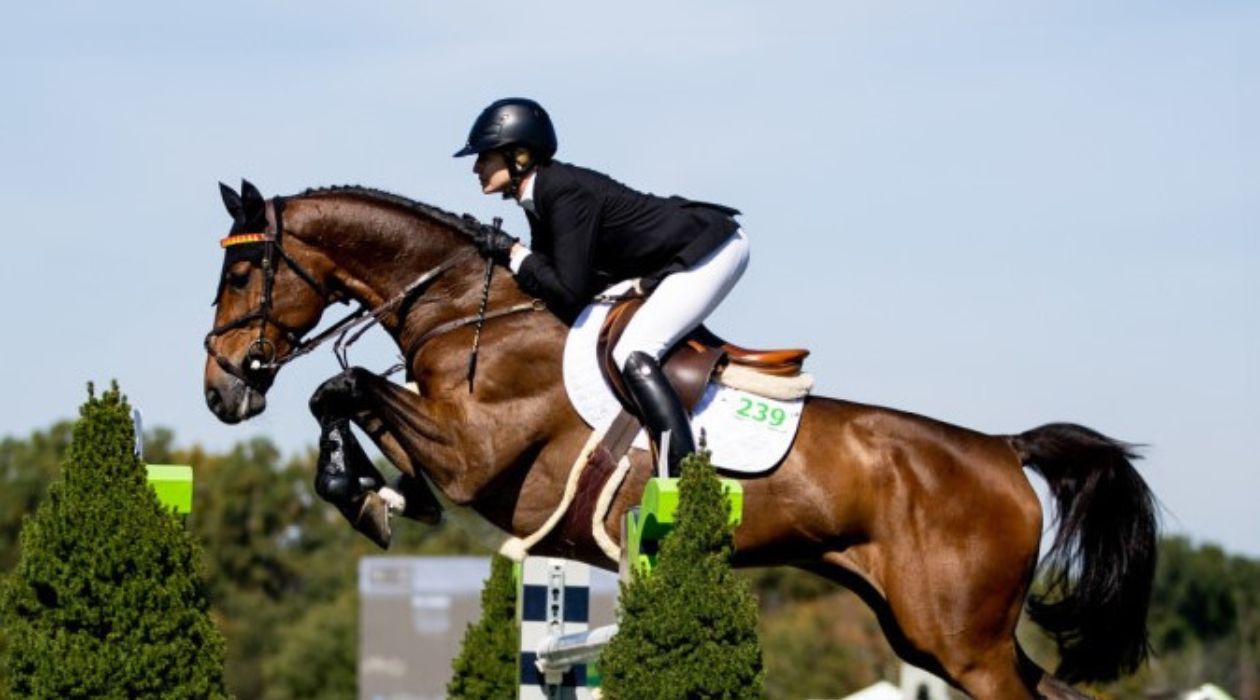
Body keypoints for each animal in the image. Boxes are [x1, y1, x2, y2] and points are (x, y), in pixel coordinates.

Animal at [201, 181, 1154, 700]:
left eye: (244, 270)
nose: (221, 389)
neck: (468, 307)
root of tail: (1002, 447)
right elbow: (347, 398)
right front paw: (378, 495)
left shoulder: (476, 453)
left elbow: (343, 387)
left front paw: (362, 493)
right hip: (931, 634)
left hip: (962, 643)